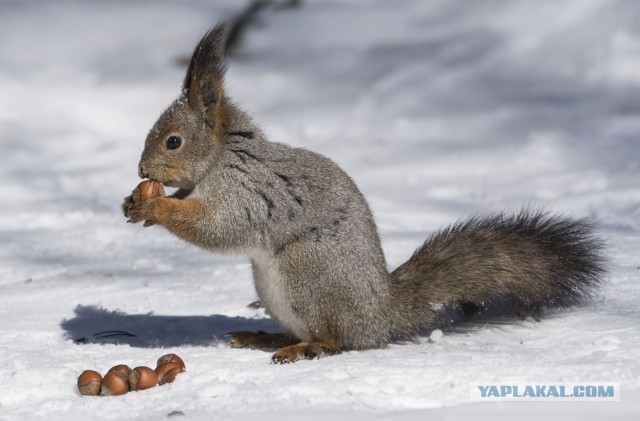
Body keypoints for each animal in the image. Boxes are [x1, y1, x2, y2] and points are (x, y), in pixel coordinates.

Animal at [124, 25, 604, 360]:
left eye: (173, 142)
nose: (142, 171)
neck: (223, 158)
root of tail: (381, 315)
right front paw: (136, 203)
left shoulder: (247, 192)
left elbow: (218, 227)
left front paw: (156, 206)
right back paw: (264, 336)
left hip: (308, 270)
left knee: (339, 339)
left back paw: (308, 348)